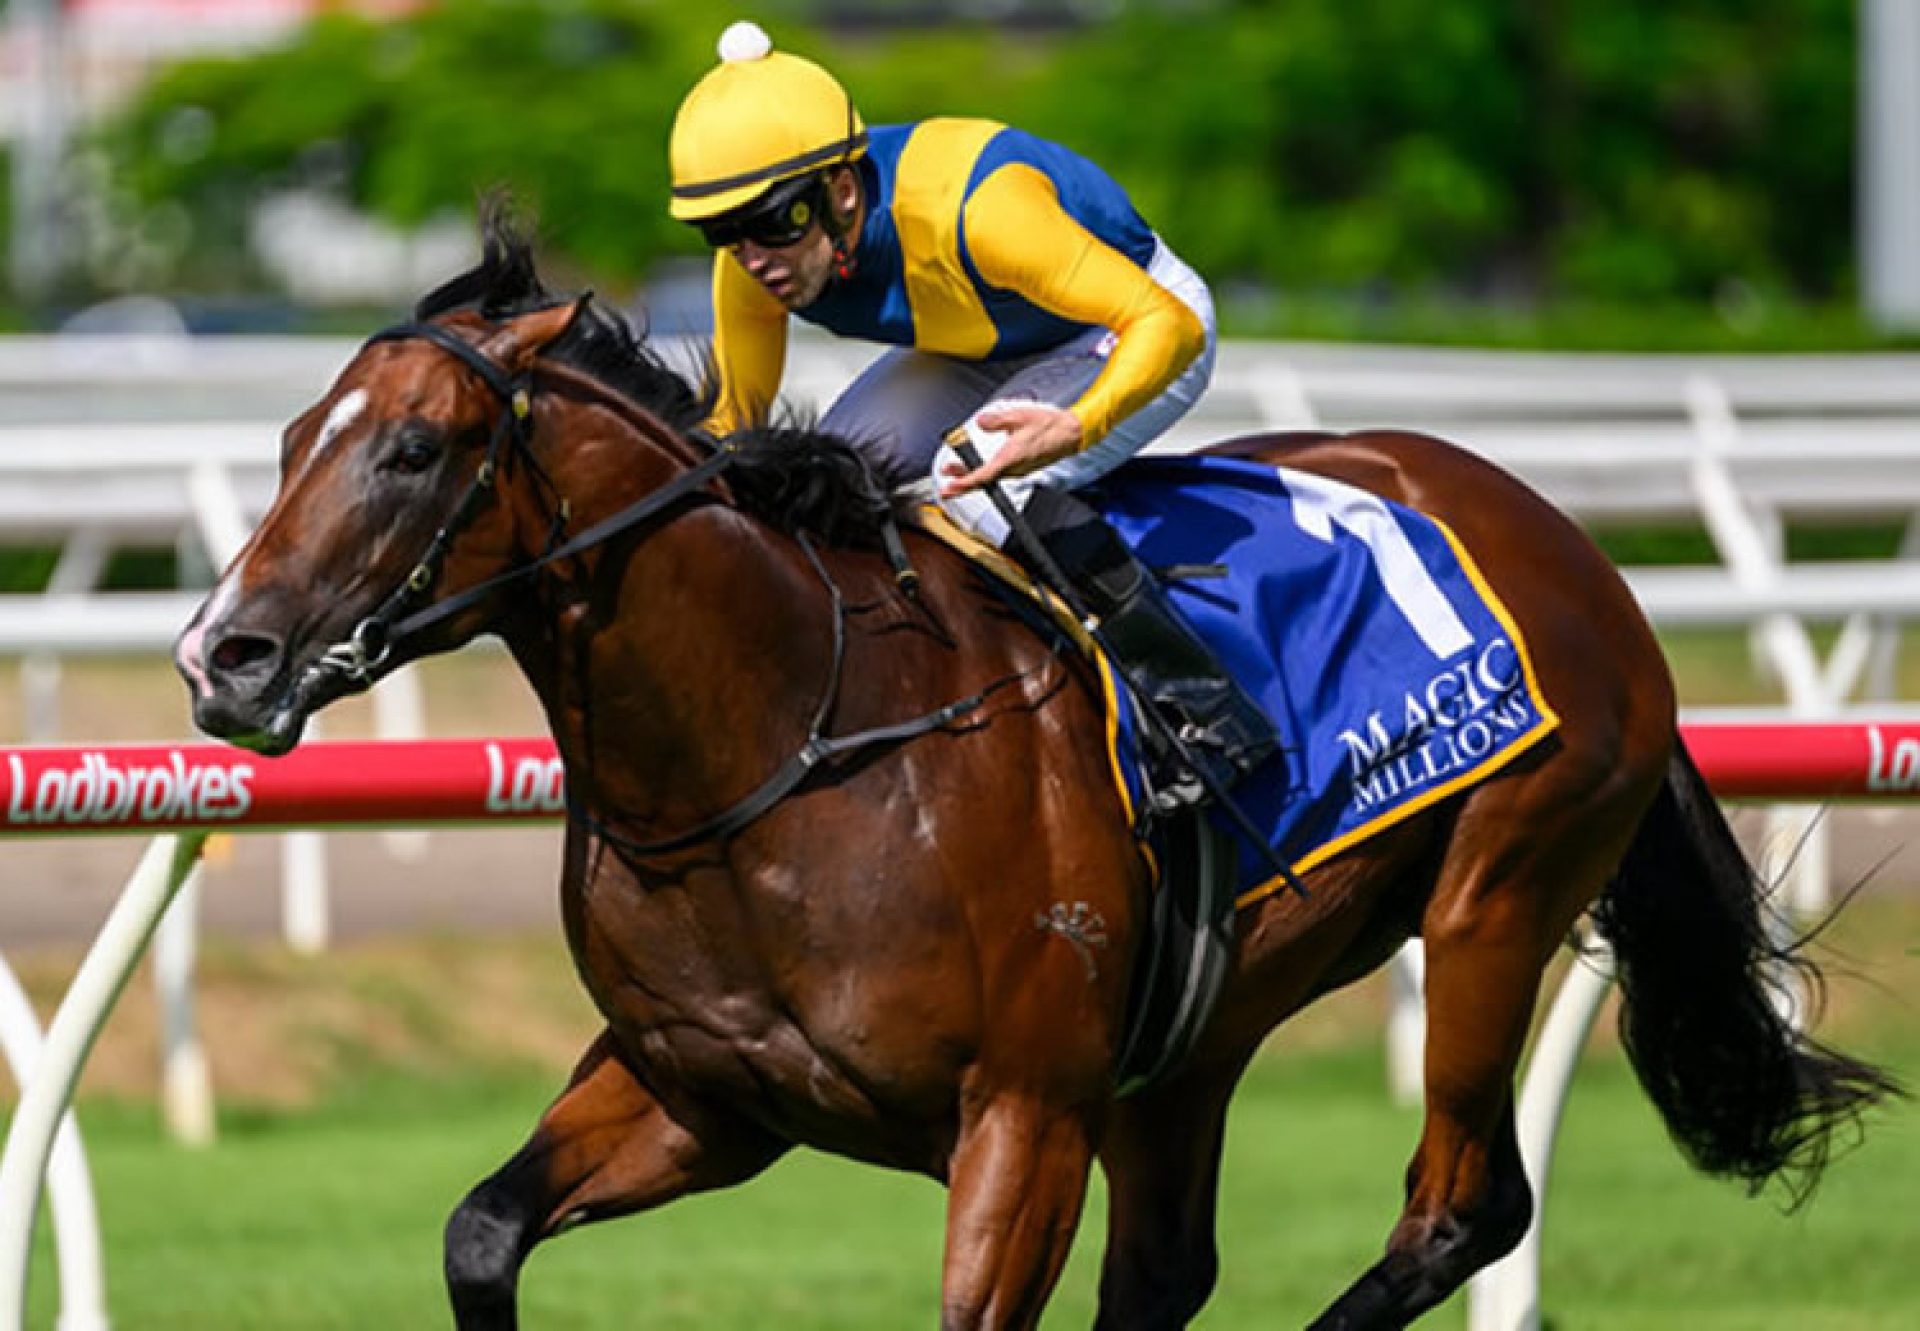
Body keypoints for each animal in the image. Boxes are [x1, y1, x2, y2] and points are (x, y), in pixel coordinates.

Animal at [172, 222, 1896, 1321]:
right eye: (290, 438)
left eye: (410, 449)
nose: (220, 655)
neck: (788, 743)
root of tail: (1571, 546)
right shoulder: (702, 1094)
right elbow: (480, 1232)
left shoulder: (1022, 1112)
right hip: (1196, 1029)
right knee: (1176, 1266)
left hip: (1498, 897)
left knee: (1463, 1203)